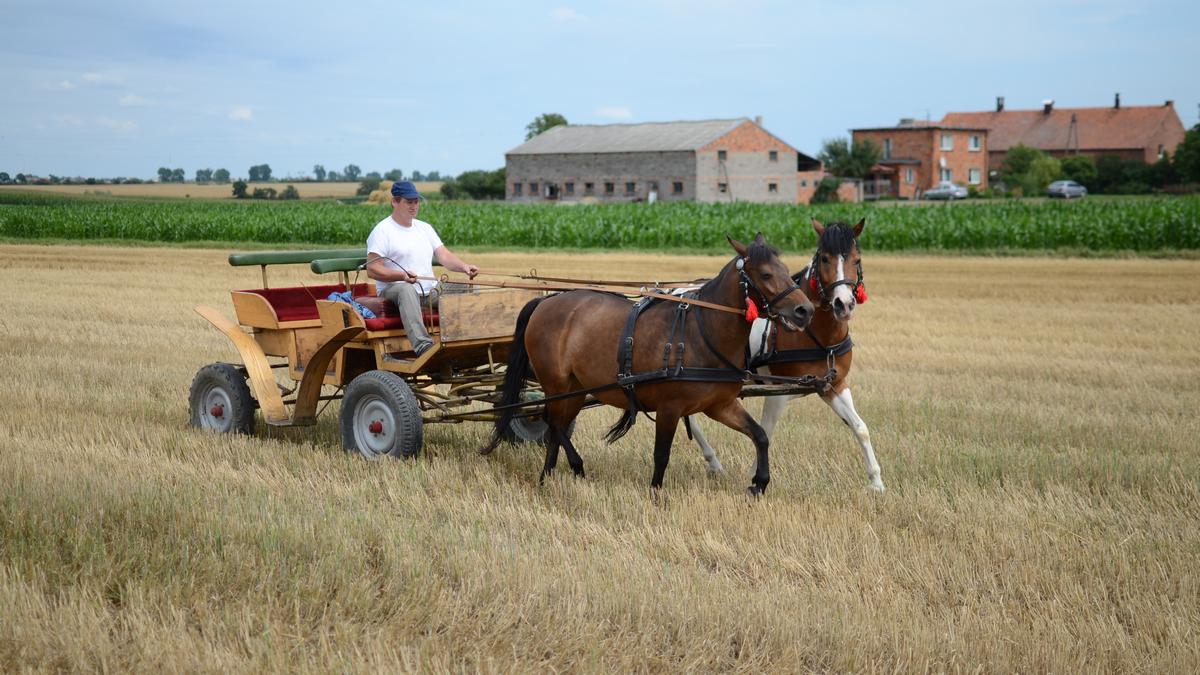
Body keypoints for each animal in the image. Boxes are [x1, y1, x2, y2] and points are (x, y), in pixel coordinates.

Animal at [484, 234, 816, 492]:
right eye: (765, 274)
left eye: (786, 270)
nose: (805, 310)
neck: (701, 332)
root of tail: (546, 300)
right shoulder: (670, 408)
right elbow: (661, 455)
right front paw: (655, 494)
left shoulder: (720, 405)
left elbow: (760, 435)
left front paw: (759, 482)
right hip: (555, 382)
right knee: (552, 422)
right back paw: (576, 467)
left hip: (575, 388)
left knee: (557, 427)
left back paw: (547, 477)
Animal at [681, 219, 888, 487]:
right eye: (825, 258)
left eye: (857, 259)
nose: (843, 304)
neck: (815, 334)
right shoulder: (778, 392)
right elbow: (766, 431)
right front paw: (756, 475)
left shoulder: (833, 384)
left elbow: (860, 427)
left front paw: (876, 482)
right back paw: (713, 461)